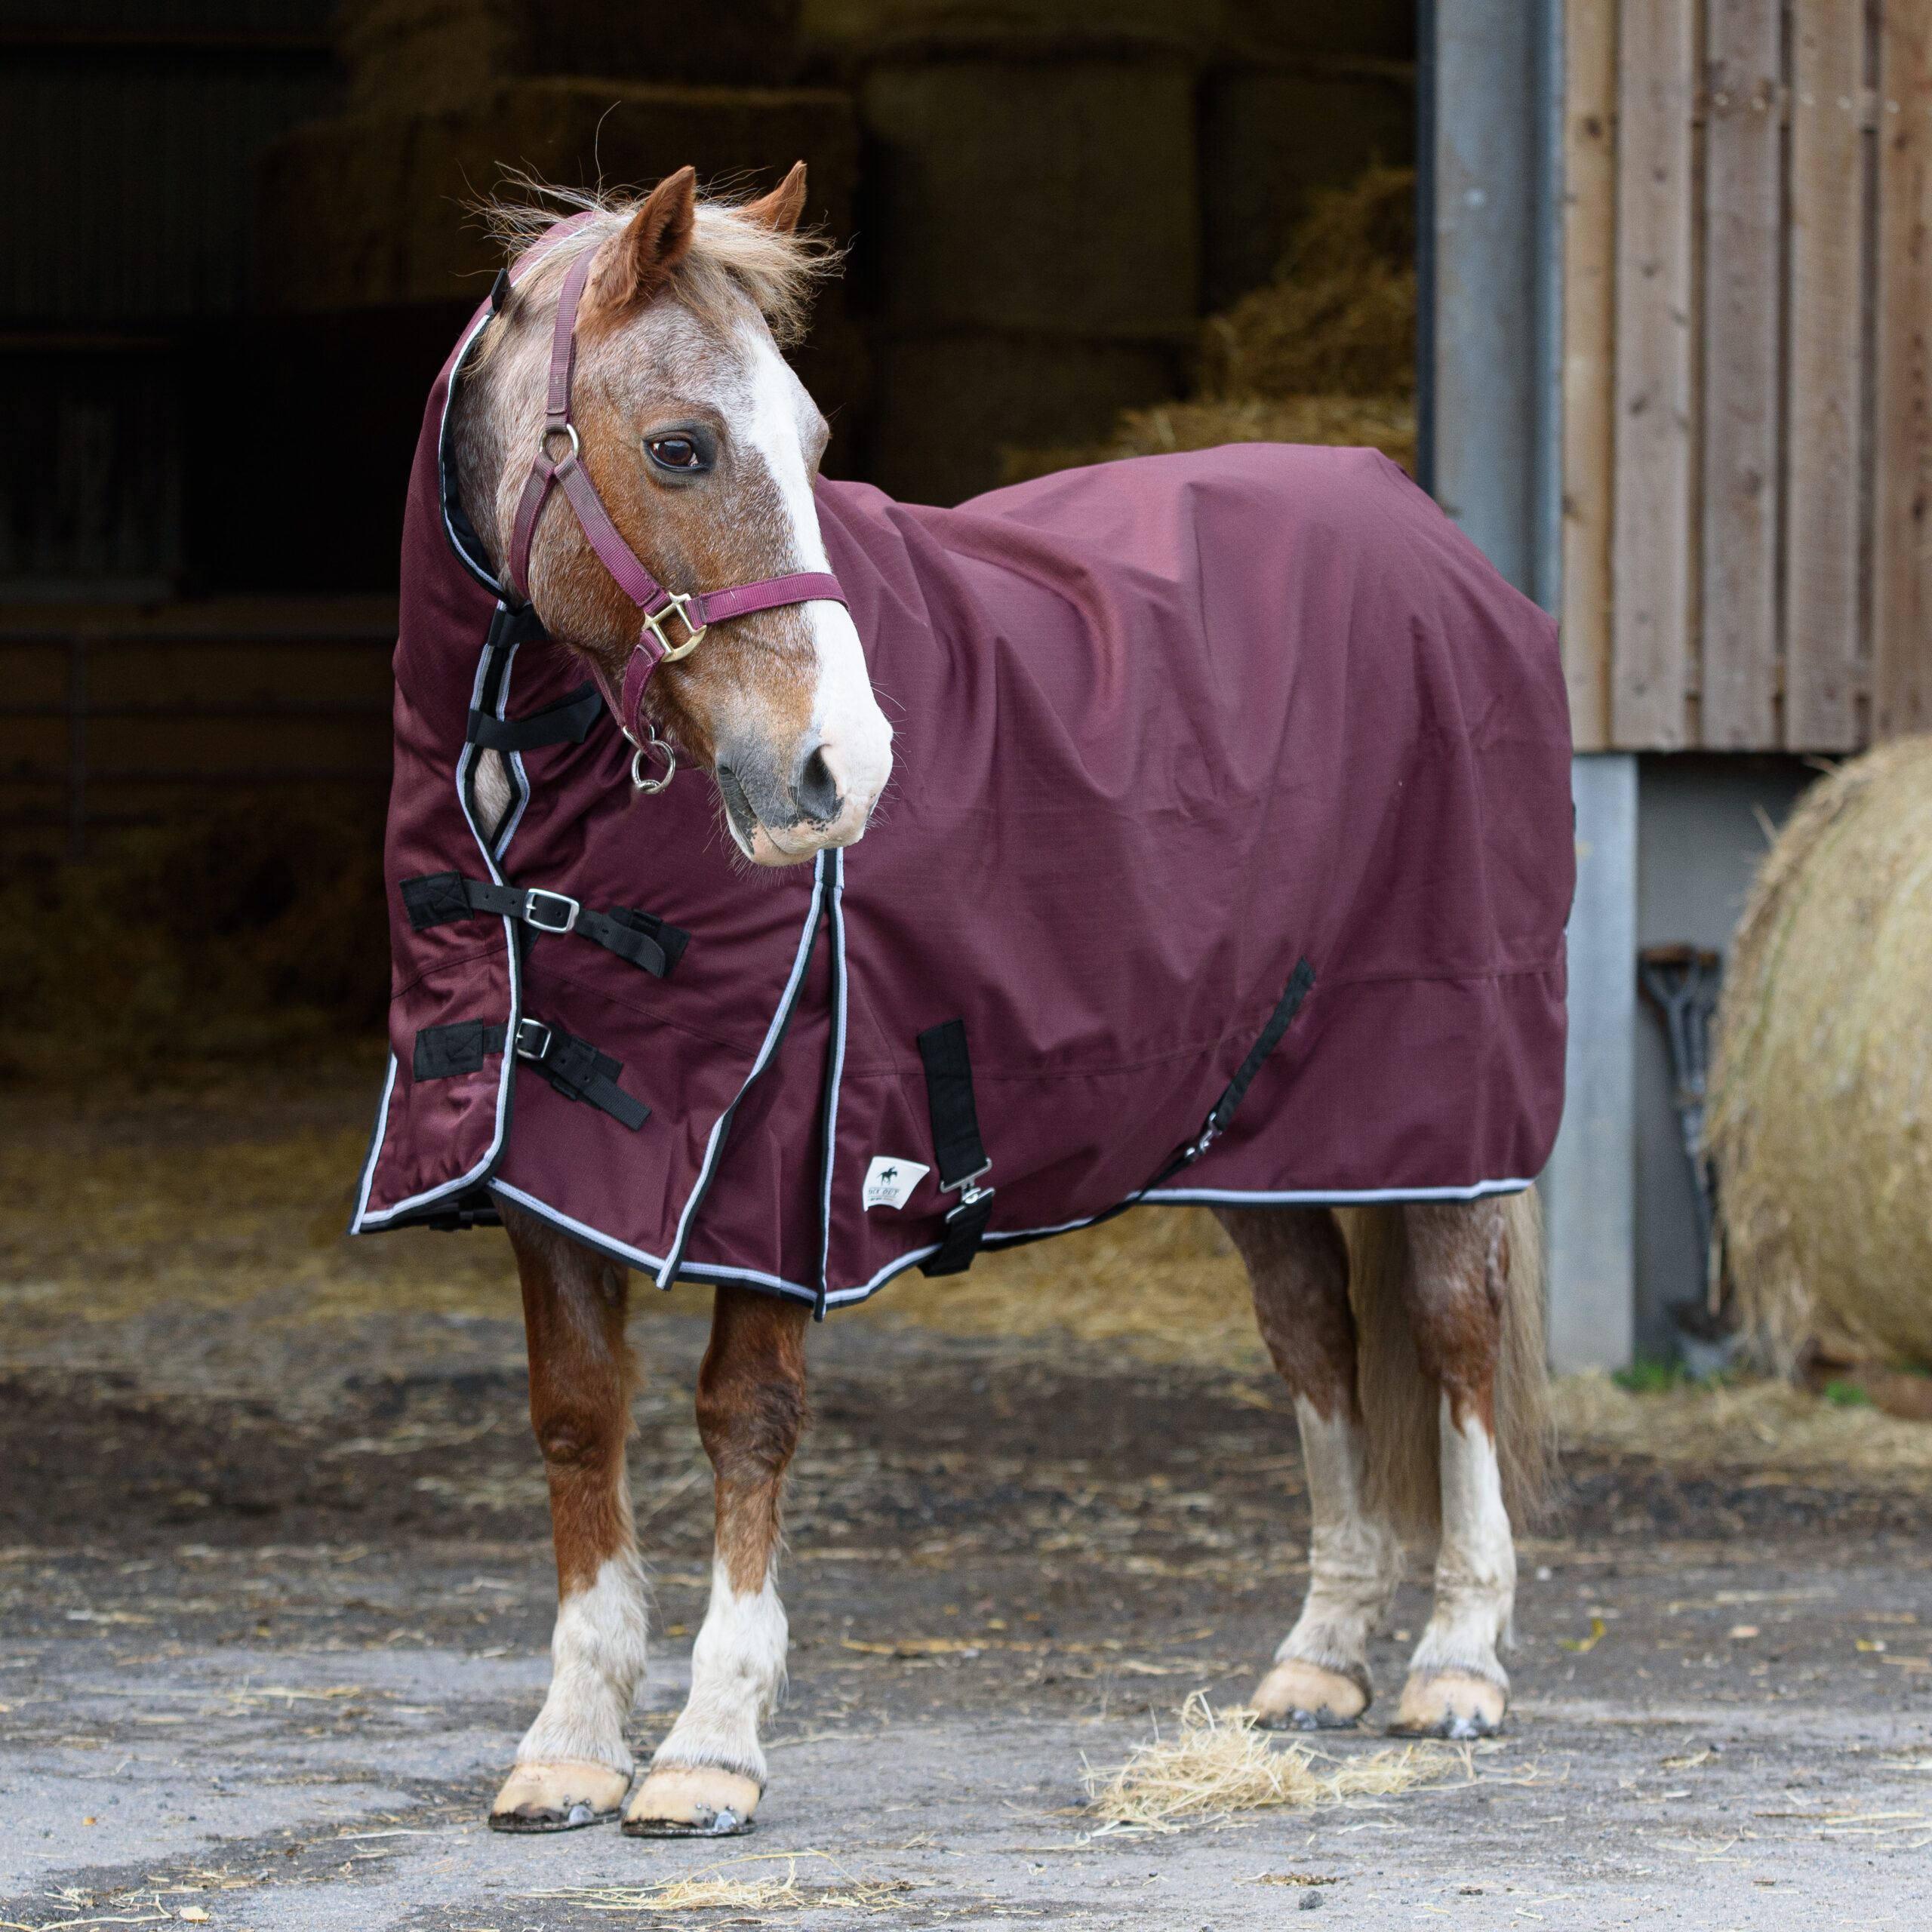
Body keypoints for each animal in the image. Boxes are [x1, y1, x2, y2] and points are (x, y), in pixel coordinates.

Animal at [356, 163, 1565, 1837]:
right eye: (681, 444)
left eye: (812, 445)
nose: (842, 770)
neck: (532, 800)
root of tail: (1432, 544)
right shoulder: (552, 1153)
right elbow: (575, 1417)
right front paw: (570, 1741)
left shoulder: (778, 1157)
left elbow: (745, 1416)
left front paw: (711, 1746)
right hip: (1247, 1118)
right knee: (1315, 1336)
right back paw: (1318, 1660)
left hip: (1441, 1093)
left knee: (1451, 1335)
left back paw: (1455, 1660)